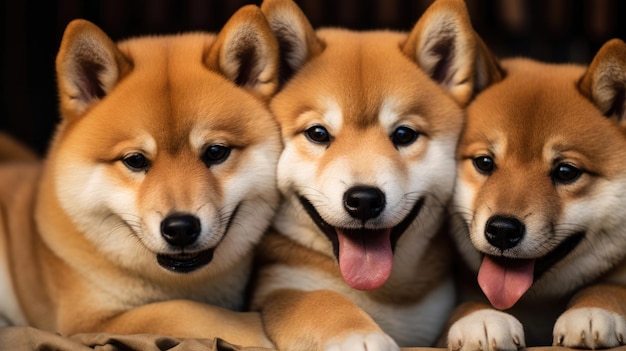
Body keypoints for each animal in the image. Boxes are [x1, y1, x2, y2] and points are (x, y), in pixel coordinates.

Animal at [249, 0, 488, 350]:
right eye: (317, 133)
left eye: (404, 134)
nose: (363, 200)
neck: (377, 294)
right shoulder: (277, 287)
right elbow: (319, 301)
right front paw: (360, 334)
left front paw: (478, 316)